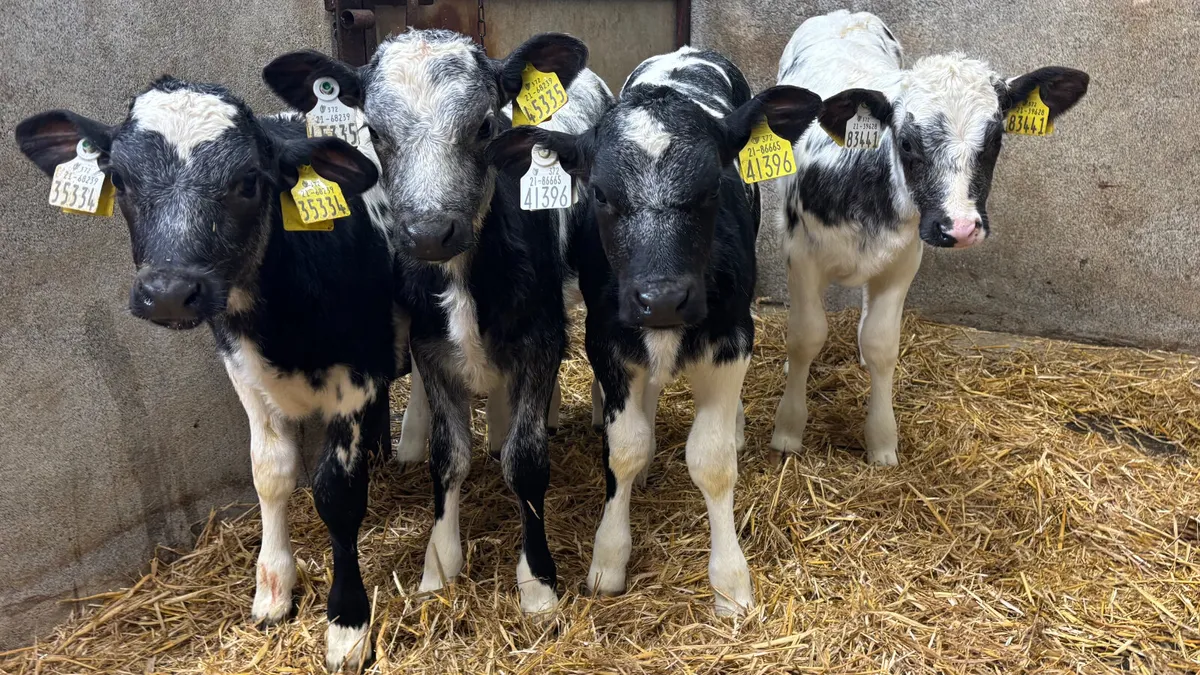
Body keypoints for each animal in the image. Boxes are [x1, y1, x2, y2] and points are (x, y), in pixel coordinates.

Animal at [15, 77, 401, 671]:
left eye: (248, 182)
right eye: (120, 179)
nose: (169, 292)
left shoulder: (357, 377)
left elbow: (336, 493)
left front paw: (347, 625)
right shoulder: (243, 370)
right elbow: (270, 473)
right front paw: (273, 589)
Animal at [263, 30, 594, 624]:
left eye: (486, 125)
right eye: (374, 131)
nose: (428, 232)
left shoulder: (540, 340)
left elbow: (527, 461)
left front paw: (537, 581)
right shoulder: (432, 350)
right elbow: (449, 456)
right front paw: (439, 561)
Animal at [487, 46, 823, 616]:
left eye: (711, 188)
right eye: (600, 194)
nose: (662, 297)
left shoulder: (733, 336)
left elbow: (712, 459)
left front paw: (730, 580)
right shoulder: (605, 338)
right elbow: (624, 448)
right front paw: (609, 557)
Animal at [772, 10, 1089, 466]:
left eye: (995, 140)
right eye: (905, 142)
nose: (959, 227)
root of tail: (844, 15)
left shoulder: (904, 260)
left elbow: (882, 343)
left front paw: (882, 442)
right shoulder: (801, 254)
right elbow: (806, 336)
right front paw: (787, 431)